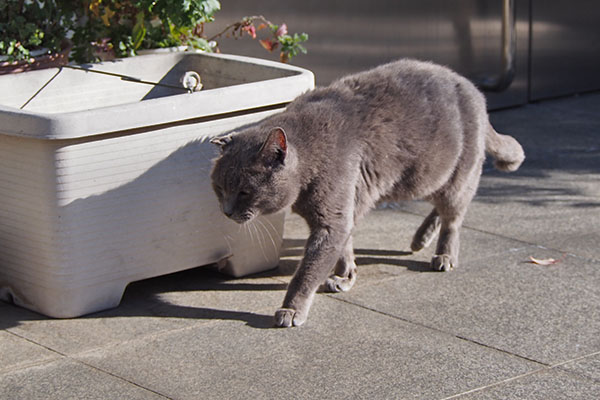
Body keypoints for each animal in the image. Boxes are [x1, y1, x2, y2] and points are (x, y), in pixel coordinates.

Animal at [211, 60, 524, 328]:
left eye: (245, 191)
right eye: (219, 188)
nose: (226, 211)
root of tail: (475, 91)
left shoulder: (332, 219)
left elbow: (308, 270)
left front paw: (291, 310)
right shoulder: (343, 211)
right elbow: (345, 247)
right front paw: (345, 277)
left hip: (451, 174)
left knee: (454, 216)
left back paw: (444, 255)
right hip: (429, 179)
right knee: (444, 209)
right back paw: (420, 239)